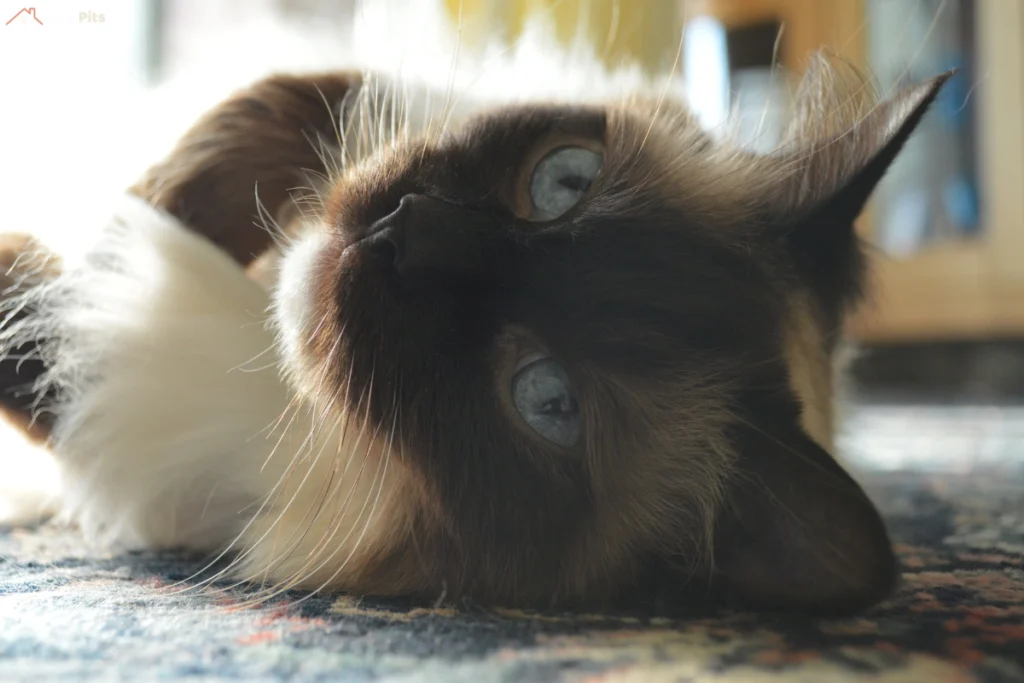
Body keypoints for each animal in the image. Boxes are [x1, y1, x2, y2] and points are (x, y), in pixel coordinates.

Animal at [0, 48, 950, 614]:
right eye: (563, 182)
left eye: (547, 398)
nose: (399, 237)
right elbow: (278, 107)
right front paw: (153, 206)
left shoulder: (128, 423)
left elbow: (45, 331)